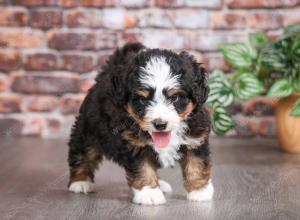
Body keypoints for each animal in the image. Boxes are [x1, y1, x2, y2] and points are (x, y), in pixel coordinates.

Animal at [68, 42, 213, 205]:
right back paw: (80, 182)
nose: (160, 124)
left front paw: (200, 191)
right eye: (143, 100)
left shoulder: (195, 139)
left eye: (175, 98)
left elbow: (196, 165)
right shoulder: (135, 145)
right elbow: (143, 168)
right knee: (82, 155)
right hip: (87, 131)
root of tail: (103, 78)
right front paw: (149, 193)